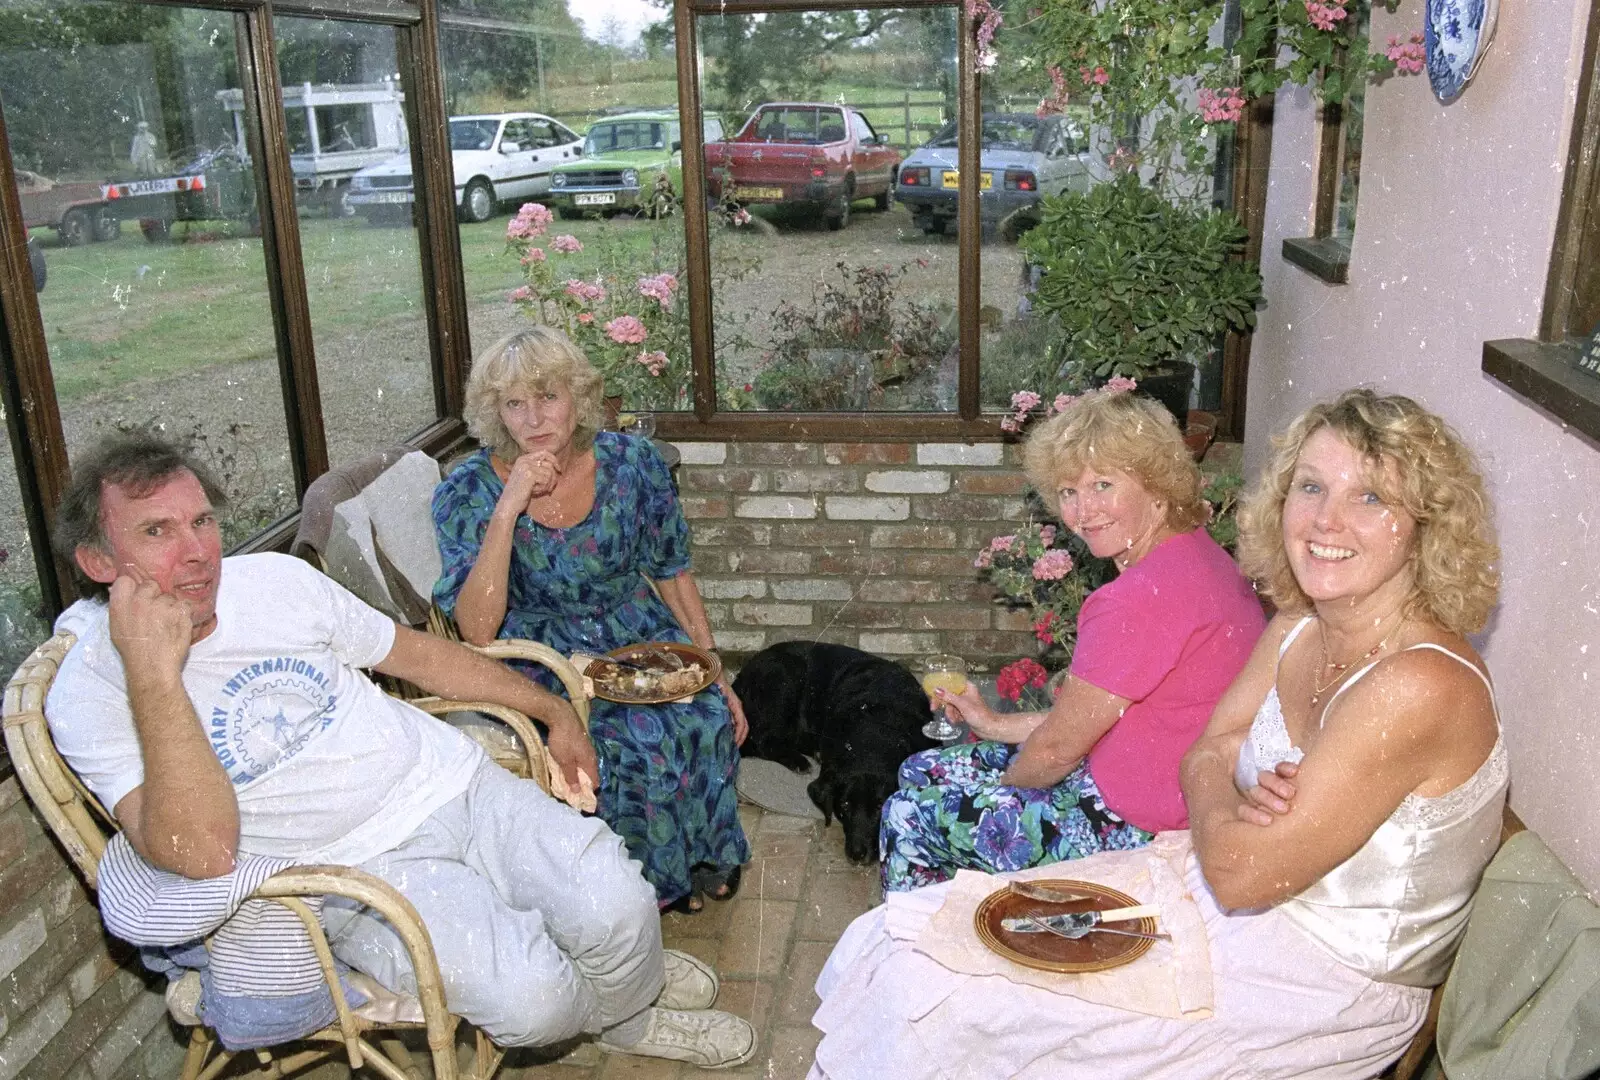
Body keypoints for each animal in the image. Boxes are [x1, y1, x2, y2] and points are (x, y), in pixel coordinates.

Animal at [732, 643, 940, 864]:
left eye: (879, 807)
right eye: (845, 805)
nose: (857, 854)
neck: (875, 732)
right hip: (784, 676)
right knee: (763, 740)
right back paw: (798, 761)